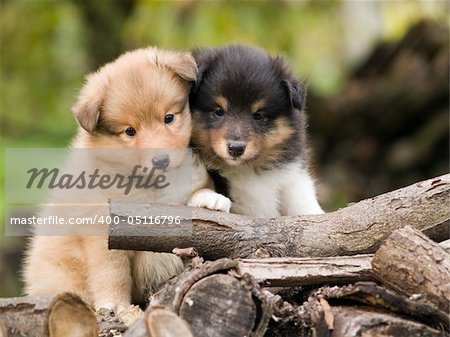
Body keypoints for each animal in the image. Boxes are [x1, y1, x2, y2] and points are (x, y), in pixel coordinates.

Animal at [22, 46, 230, 312]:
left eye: (169, 118)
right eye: (130, 131)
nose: (161, 160)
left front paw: (210, 200)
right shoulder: (102, 232)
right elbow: (112, 272)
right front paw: (114, 304)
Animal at [190, 44, 324, 217]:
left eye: (258, 115)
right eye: (218, 111)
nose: (236, 149)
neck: (246, 168)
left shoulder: (291, 176)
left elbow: (302, 200)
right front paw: (207, 197)